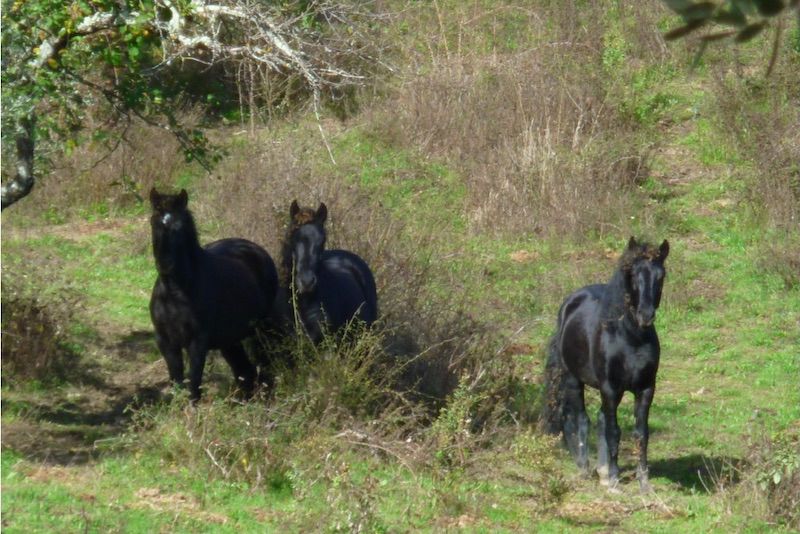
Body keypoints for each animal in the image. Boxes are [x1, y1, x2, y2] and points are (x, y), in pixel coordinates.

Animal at [148, 188, 278, 402]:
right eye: (154, 222)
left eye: (179, 227)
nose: (165, 264)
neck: (176, 293)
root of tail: (256, 250)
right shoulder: (166, 342)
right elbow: (176, 383)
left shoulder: (198, 343)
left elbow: (193, 386)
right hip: (230, 340)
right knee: (245, 372)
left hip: (261, 330)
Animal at [542, 237, 669, 492]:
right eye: (633, 274)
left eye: (661, 275)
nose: (646, 315)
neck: (630, 338)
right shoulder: (610, 388)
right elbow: (614, 431)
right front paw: (614, 481)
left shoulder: (645, 389)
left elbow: (641, 433)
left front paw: (644, 483)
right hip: (573, 379)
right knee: (582, 418)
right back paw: (585, 467)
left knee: (600, 418)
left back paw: (601, 470)